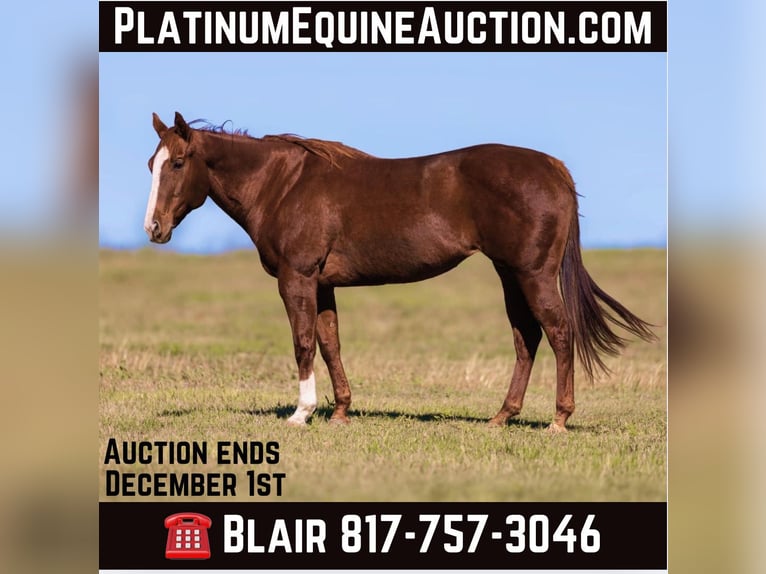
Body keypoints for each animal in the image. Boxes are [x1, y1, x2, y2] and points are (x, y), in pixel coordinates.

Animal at [144, 111, 656, 432]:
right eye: (151, 163)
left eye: (178, 162)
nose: (154, 228)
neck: (283, 186)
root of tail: (553, 168)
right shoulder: (323, 285)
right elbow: (330, 343)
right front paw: (340, 412)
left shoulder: (298, 278)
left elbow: (303, 343)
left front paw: (301, 413)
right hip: (510, 273)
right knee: (526, 337)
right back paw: (501, 417)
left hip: (533, 273)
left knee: (558, 332)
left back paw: (558, 419)